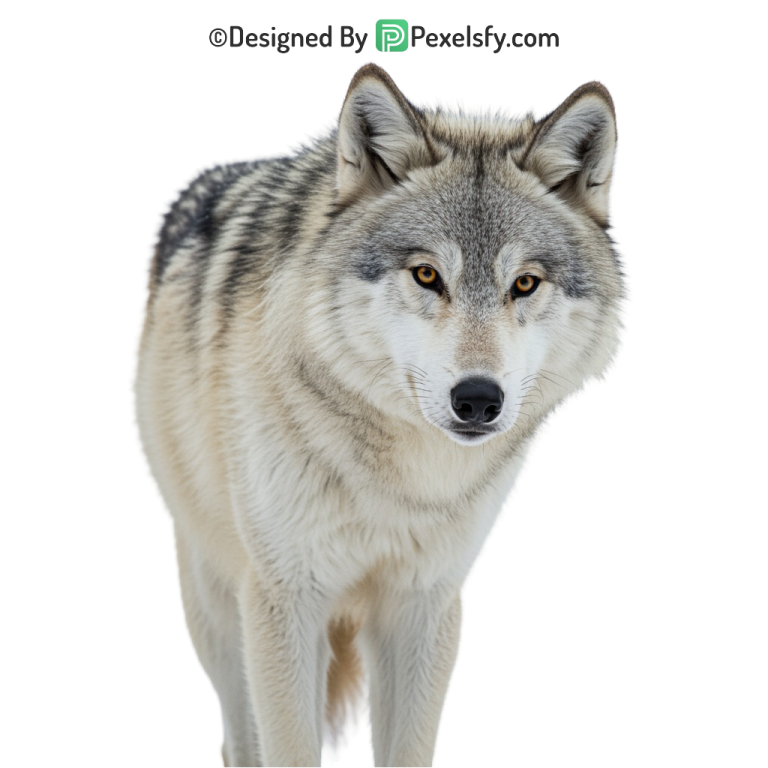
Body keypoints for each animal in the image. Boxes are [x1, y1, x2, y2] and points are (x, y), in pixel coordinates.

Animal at [129, 60, 631, 767]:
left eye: (525, 284)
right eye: (426, 275)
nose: (478, 399)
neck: (401, 485)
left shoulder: (424, 606)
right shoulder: (285, 600)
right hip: (218, 604)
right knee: (238, 734)